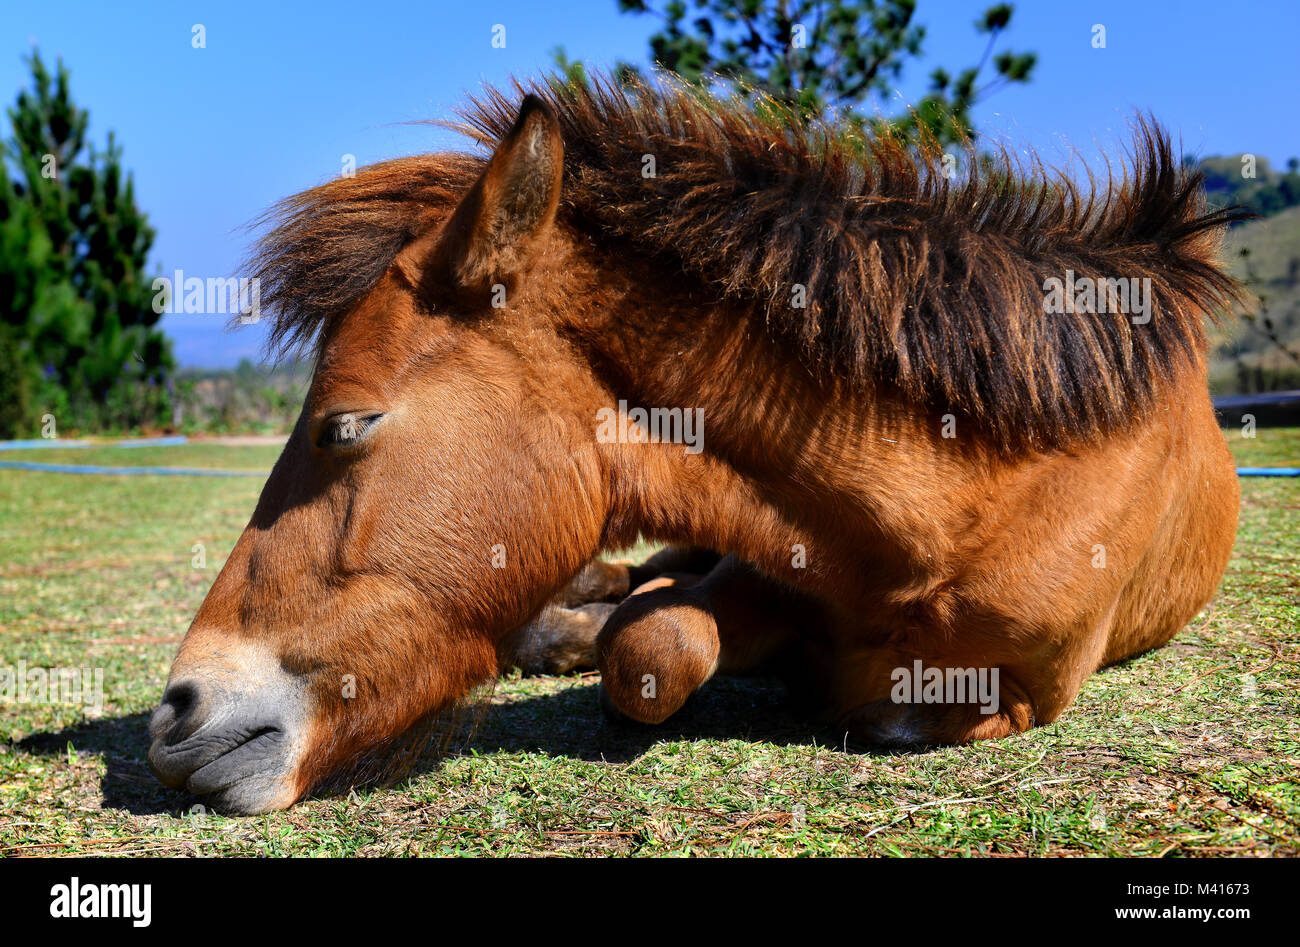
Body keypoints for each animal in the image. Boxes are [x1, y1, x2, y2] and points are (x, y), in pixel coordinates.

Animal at [148, 76, 1249, 814]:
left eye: (344, 424)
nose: (176, 711)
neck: (962, 501)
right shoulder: (755, 565)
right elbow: (657, 642)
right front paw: (594, 636)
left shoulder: (1017, 686)